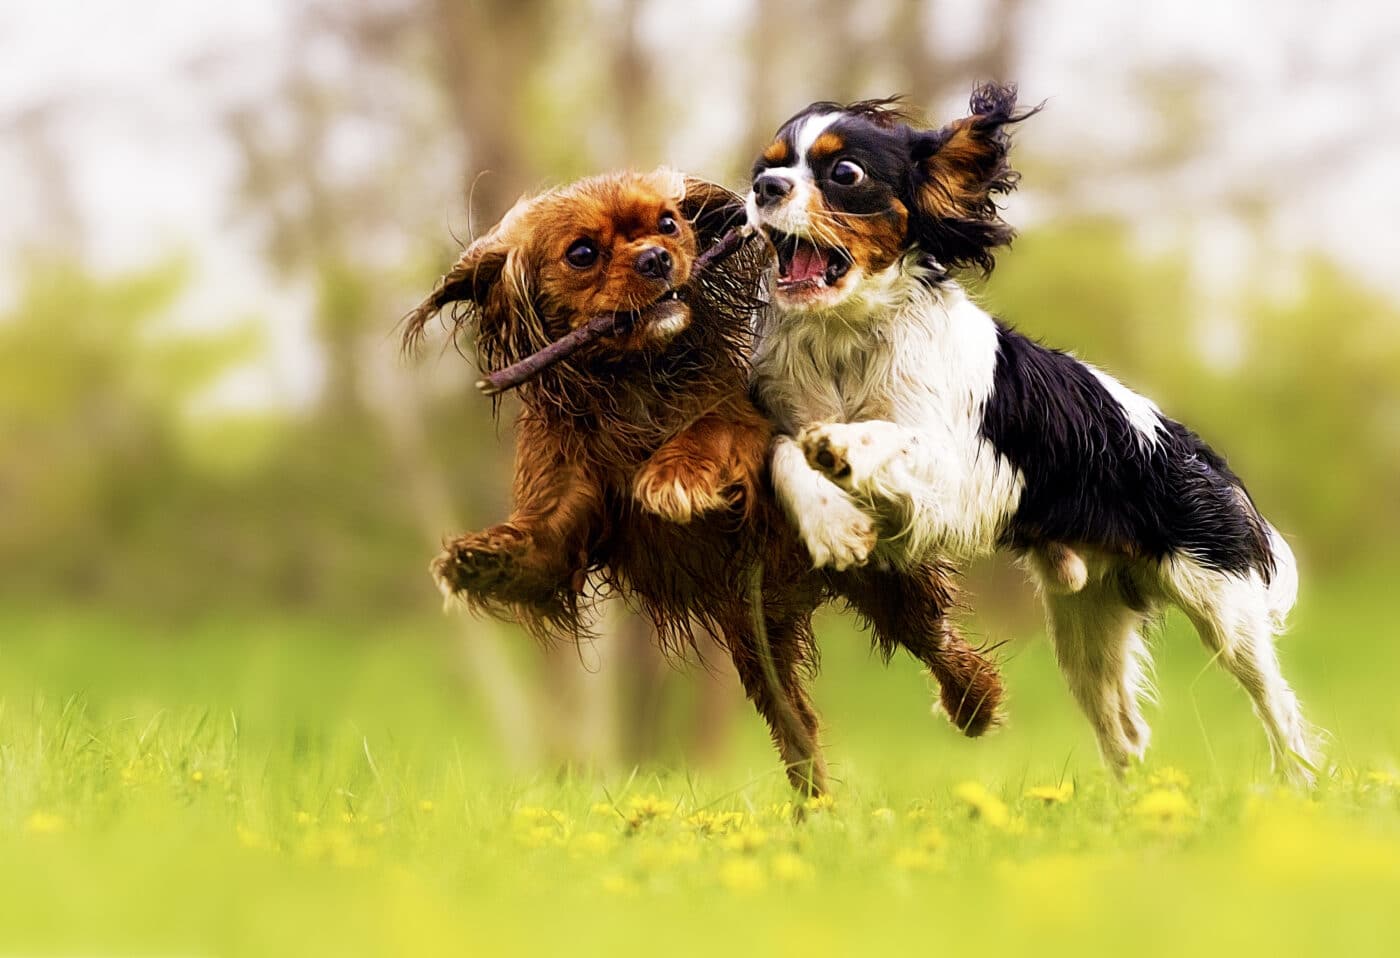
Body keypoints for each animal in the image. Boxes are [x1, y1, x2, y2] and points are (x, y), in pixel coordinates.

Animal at [406, 166, 1008, 795]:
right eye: (582, 254)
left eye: (668, 224)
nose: (654, 258)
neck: (633, 378)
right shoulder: (563, 515)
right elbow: (535, 541)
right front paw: (477, 560)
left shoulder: (744, 429)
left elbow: (707, 430)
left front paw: (674, 475)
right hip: (756, 645)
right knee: (797, 724)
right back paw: (815, 800)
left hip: (887, 584)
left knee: (936, 639)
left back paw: (974, 703)